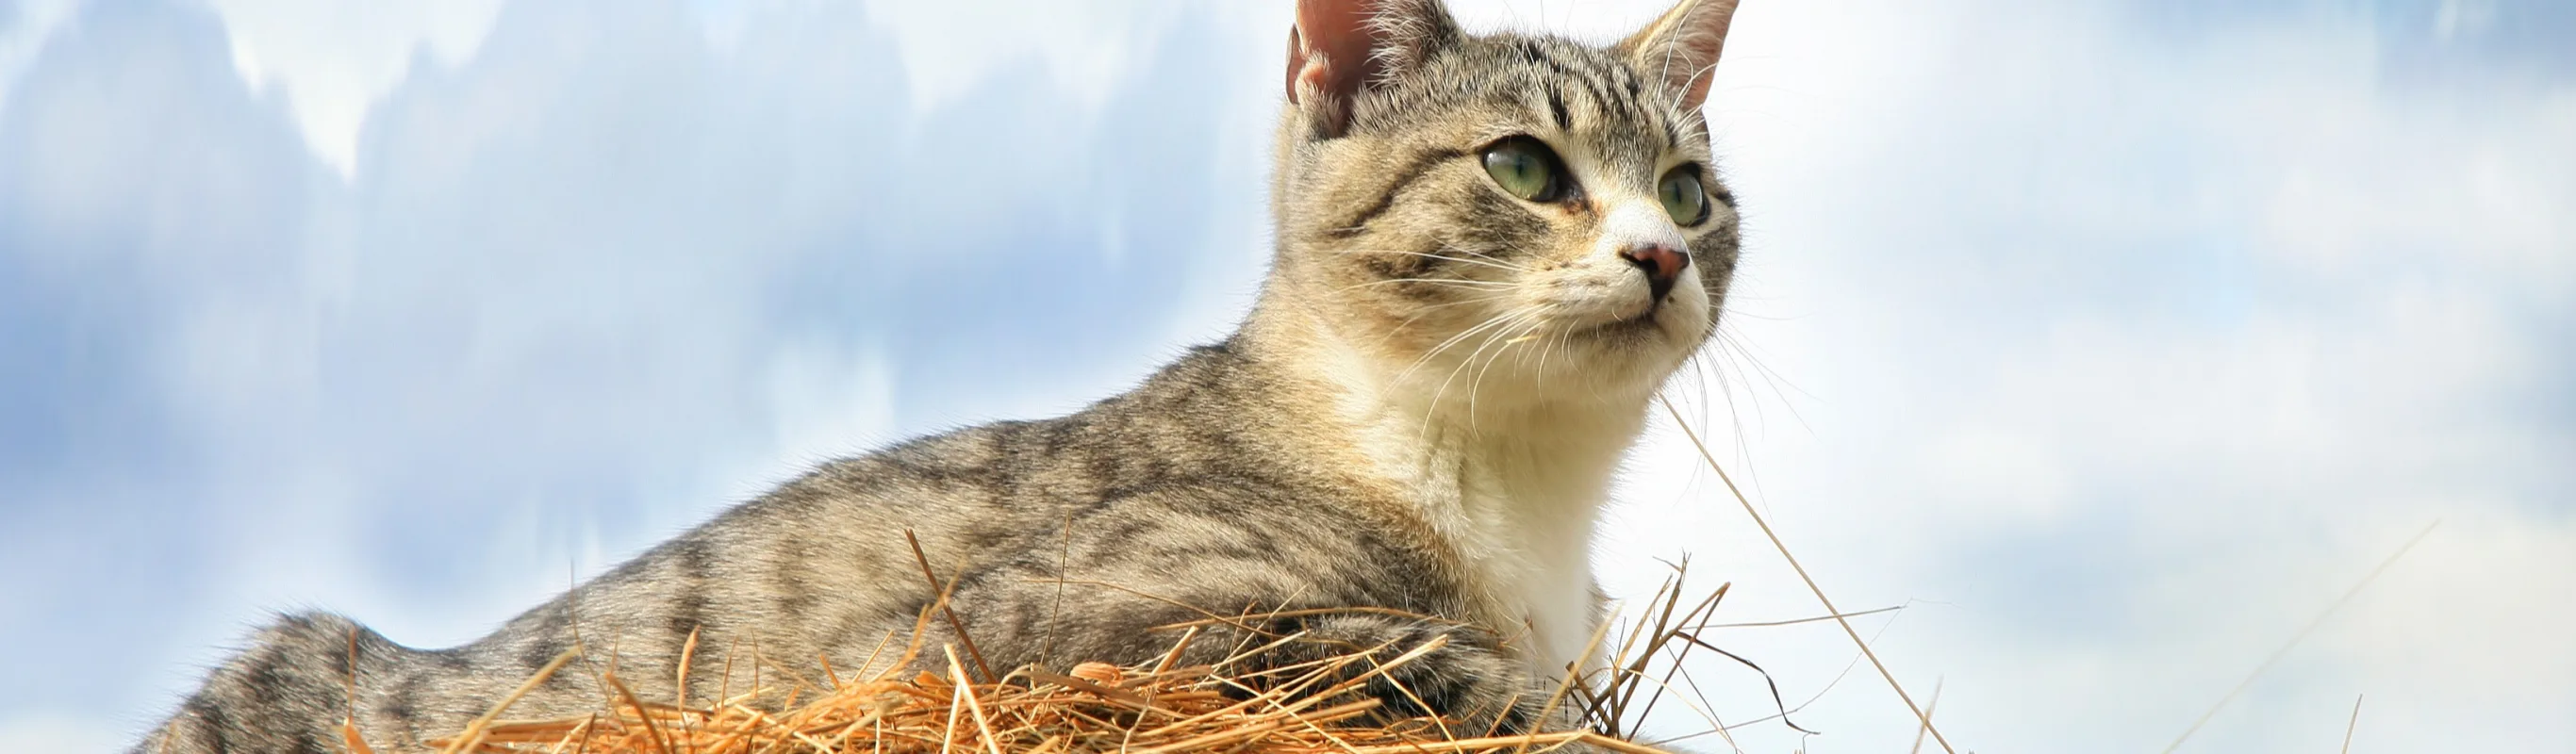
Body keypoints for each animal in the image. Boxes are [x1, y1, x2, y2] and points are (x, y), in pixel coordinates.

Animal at [140, 1, 1751, 746]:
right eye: (1523, 167)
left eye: (1689, 192)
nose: (1661, 258)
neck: (1513, 485)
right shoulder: (1024, 632)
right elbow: (1468, 678)